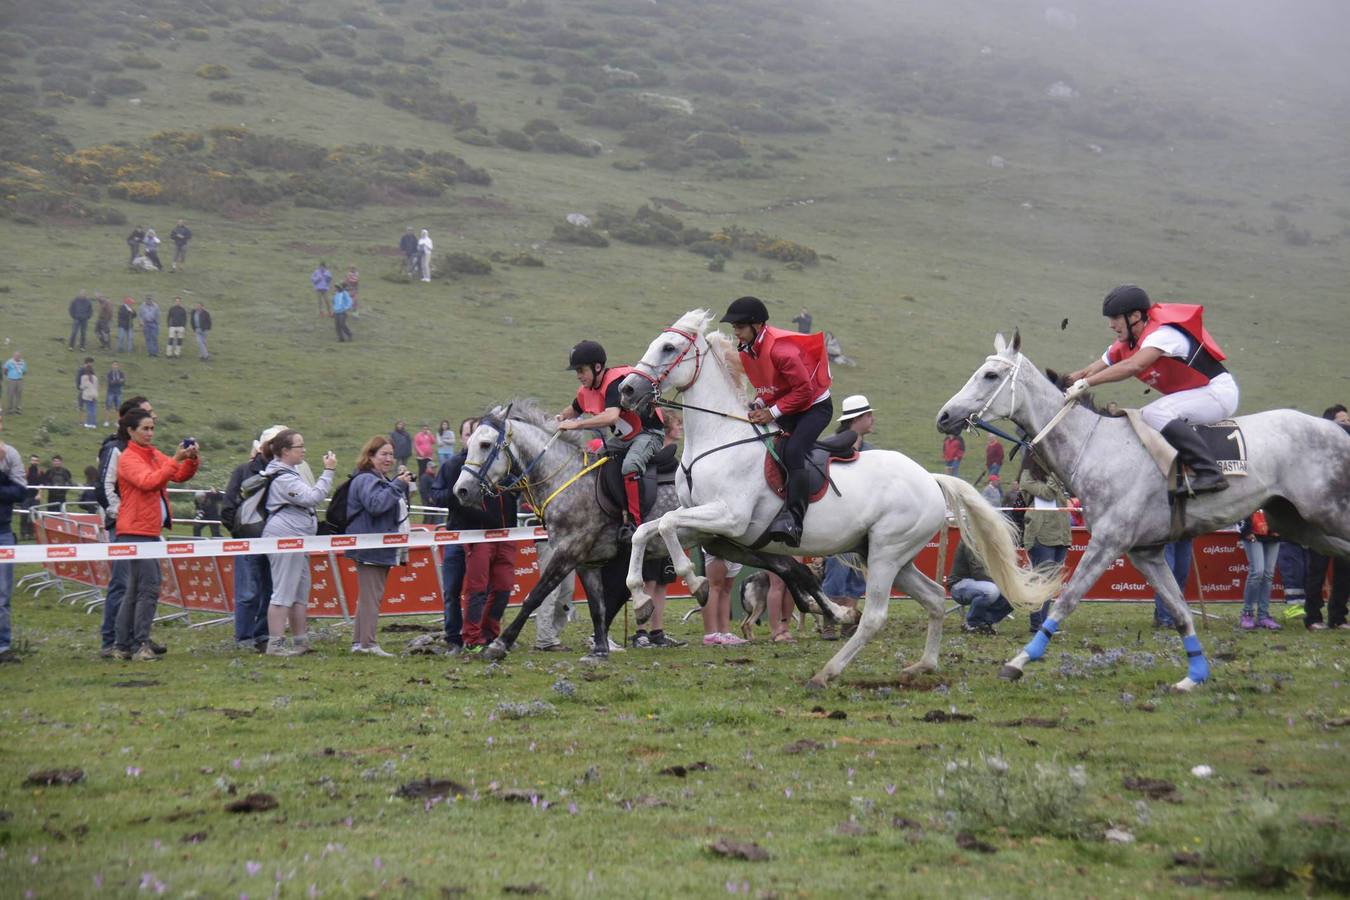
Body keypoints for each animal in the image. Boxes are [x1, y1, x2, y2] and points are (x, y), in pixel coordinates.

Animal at [456, 402, 842, 661]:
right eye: (468, 442)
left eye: (486, 445)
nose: (461, 491)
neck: (567, 479)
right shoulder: (586, 562)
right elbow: (597, 606)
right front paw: (600, 648)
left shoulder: (568, 553)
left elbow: (535, 596)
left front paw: (499, 643)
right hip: (735, 545)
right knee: (791, 570)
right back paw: (830, 613)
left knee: (794, 571)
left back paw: (832, 614)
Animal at [618, 313, 1058, 685]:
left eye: (668, 348)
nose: (626, 388)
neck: (719, 440)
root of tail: (930, 479)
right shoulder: (705, 526)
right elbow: (646, 529)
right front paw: (641, 598)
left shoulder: (729, 519)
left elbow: (666, 525)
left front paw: (693, 581)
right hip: (884, 554)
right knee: (934, 597)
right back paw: (922, 665)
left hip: (886, 552)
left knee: (877, 616)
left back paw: (828, 672)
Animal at [939, 334, 1350, 696]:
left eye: (990, 375)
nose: (945, 416)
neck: (1096, 447)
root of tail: (1337, 430)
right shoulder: (1146, 553)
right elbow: (1180, 610)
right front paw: (1194, 676)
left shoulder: (1107, 543)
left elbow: (1067, 599)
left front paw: (1019, 661)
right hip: (1297, 523)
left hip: (1326, 512)